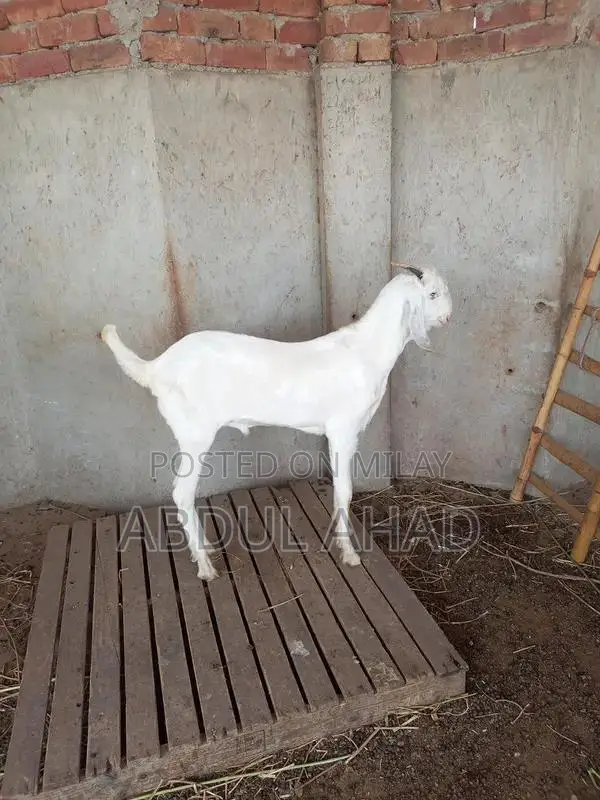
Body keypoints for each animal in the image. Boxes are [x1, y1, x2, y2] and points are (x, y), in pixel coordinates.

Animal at [101, 264, 452, 581]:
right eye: (432, 294)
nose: (449, 316)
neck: (366, 351)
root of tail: (155, 367)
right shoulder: (343, 430)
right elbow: (345, 491)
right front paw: (350, 553)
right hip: (194, 433)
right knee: (181, 494)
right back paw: (205, 567)